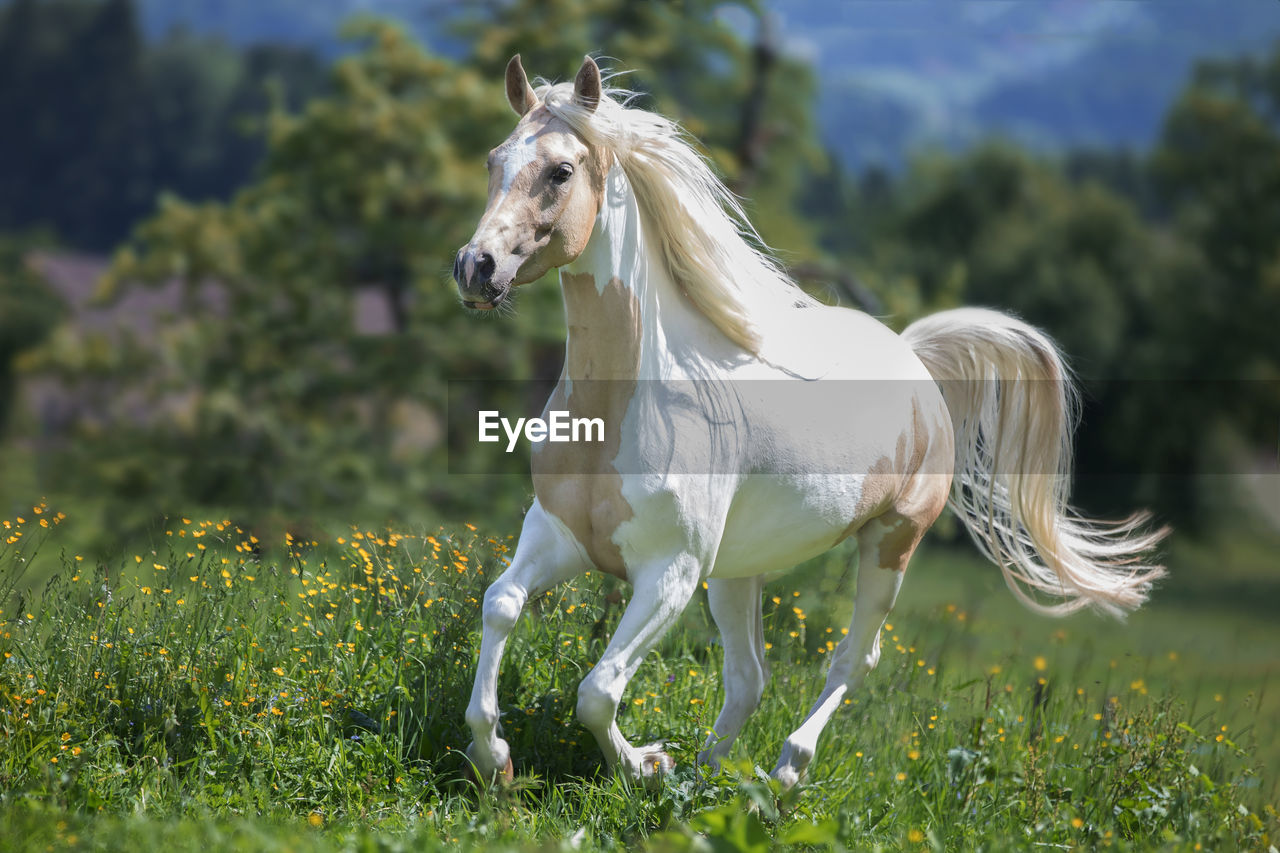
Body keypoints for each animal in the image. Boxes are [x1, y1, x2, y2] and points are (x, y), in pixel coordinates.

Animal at [453, 53, 1172, 783]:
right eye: (493, 160)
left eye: (560, 171)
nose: (475, 268)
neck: (630, 408)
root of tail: (915, 362)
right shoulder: (557, 535)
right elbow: (501, 603)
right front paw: (496, 759)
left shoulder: (670, 572)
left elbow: (598, 691)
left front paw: (643, 764)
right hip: (739, 571)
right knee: (749, 678)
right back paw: (707, 776)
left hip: (890, 542)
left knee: (854, 658)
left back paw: (786, 772)